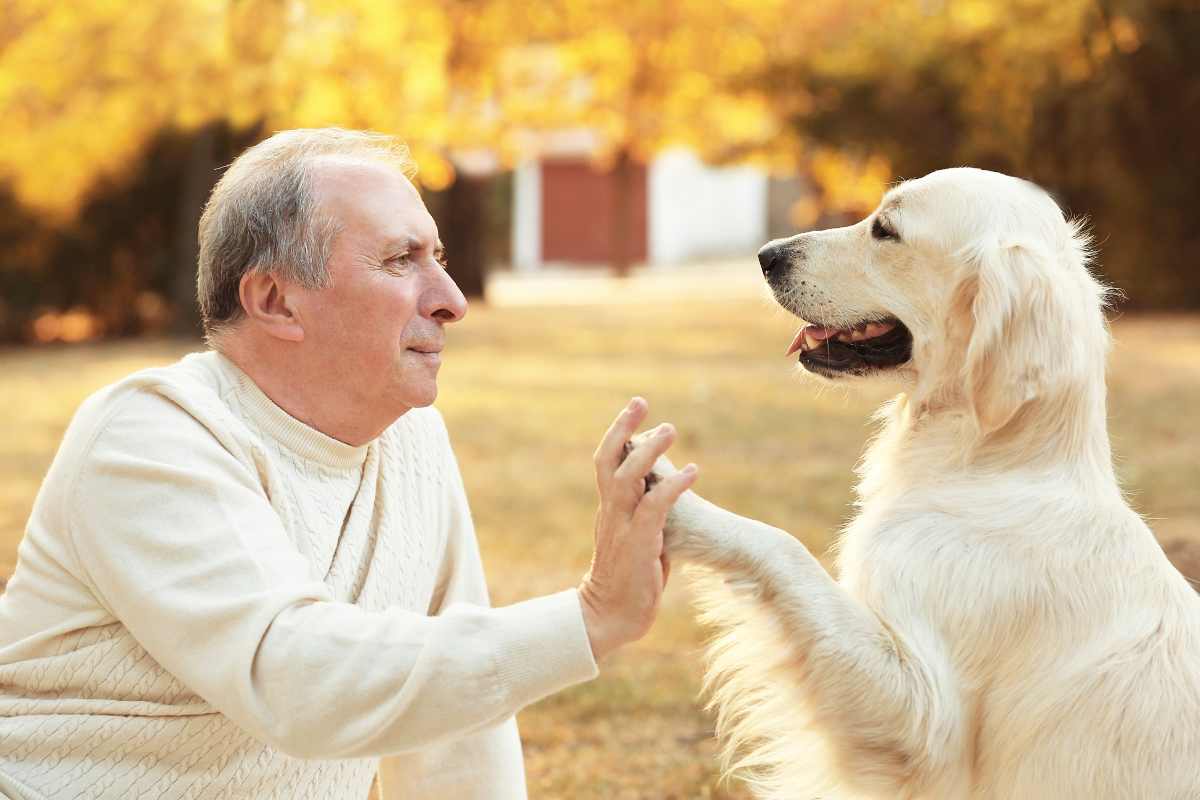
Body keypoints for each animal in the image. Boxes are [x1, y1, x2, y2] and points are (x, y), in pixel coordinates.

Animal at [657, 169, 1200, 800]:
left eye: (886, 229)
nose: (767, 255)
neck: (993, 467)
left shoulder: (924, 718)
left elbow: (781, 547)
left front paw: (673, 498)